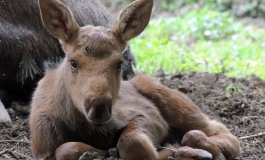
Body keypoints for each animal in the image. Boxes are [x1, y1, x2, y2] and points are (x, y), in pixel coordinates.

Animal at [29, 0, 240, 159]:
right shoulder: (43, 148)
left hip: (168, 97)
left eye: (119, 63)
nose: (98, 107)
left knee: (218, 131)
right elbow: (66, 148)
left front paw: (173, 149)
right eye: (73, 62)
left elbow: (132, 141)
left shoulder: (146, 114)